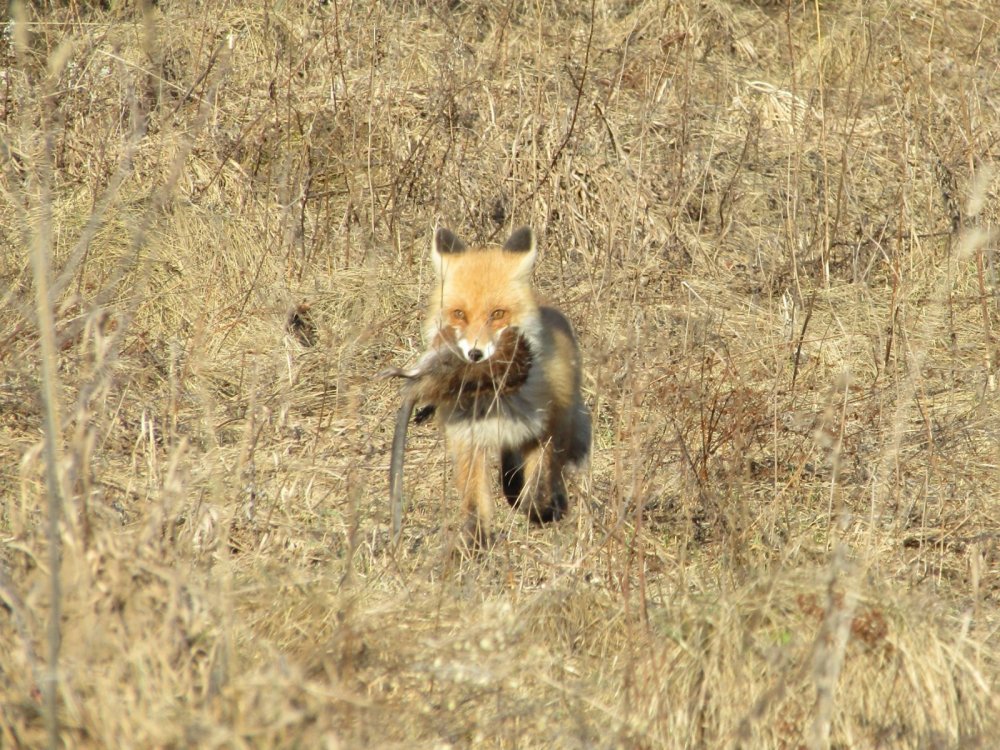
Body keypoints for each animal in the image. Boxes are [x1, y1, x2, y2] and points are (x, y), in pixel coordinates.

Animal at [388, 225, 592, 548]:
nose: (475, 355)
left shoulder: (545, 429)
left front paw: (539, 511)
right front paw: (475, 544)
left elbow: (538, 483)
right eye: (459, 314)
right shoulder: (467, 440)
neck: (492, 396)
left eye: (497, 314)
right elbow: (474, 502)